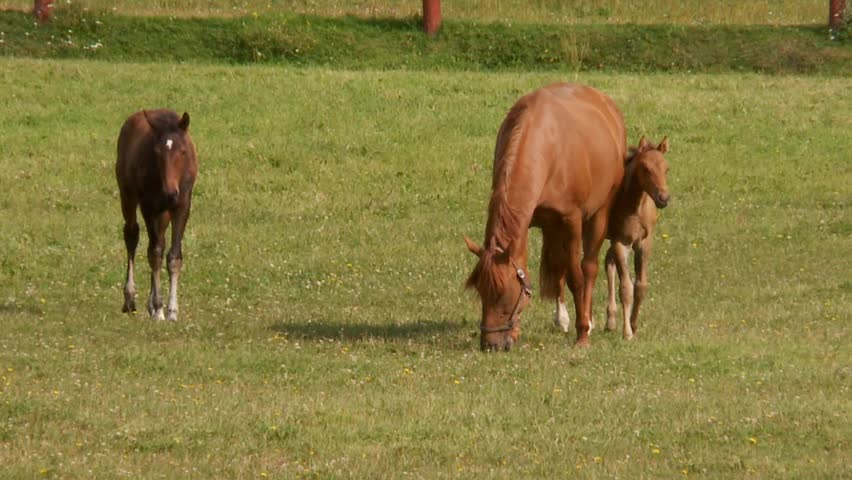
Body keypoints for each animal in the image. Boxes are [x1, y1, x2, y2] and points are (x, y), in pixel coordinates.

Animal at [116, 109, 198, 321]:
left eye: (183, 152)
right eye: (156, 153)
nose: (170, 193)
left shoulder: (182, 205)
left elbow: (173, 257)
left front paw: (172, 311)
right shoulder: (148, 206)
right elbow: (154, 254)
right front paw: (159, 309)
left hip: (164, 214)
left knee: (159, 241)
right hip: (128, 196)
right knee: (132, 235)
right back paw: (130, 299)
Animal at [464, 83, 627, 351]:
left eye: (505, 294)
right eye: (481, 292)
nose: (490, 345)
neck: (547, 146)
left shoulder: (571, 222)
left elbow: (576, 277)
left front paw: (582, 334)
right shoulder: (533, 220)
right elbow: (558, 270)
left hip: (598, 214)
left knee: (589, 267)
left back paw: (589, 320)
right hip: (552, 227)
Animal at [604, 136, 671, 339]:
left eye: (667, 168)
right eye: (646, 169)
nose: (663, 198)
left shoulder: (643, 242)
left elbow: (640, 286)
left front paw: (633, 325)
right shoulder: (620, 242)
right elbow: (626, 287)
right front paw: (627, 333)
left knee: (607, 263)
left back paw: (610, 321)